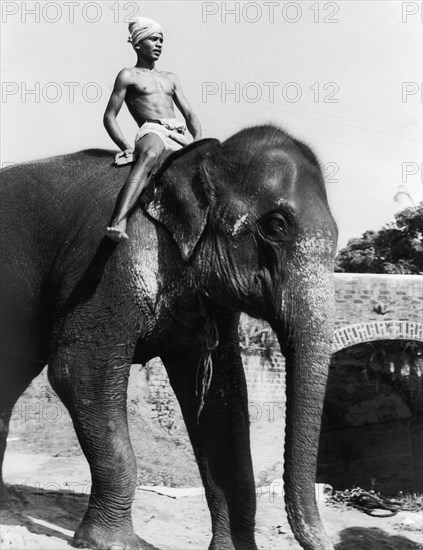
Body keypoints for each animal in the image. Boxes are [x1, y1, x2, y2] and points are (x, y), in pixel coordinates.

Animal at [0, 126, 338, 550]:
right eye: (275, 227)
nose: (328, 540)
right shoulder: (107, 264)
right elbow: (78, 371)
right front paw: (112, 543)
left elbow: (223, 399)